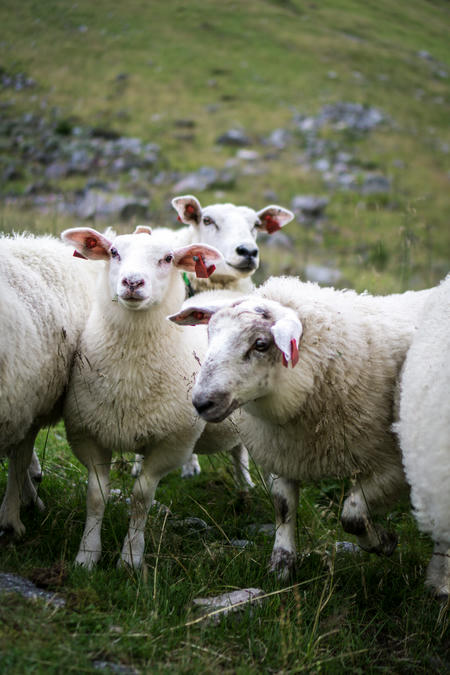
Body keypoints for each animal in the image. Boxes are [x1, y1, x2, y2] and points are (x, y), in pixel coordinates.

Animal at [61, 227, 236, 572]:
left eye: (167, 258)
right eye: (114, 252)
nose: (132, 282)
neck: (130, 377)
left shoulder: (172, 444)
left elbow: (142, 498)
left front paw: (130, 558)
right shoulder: (87, 434)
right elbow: (96, 495)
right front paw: (87, 556)